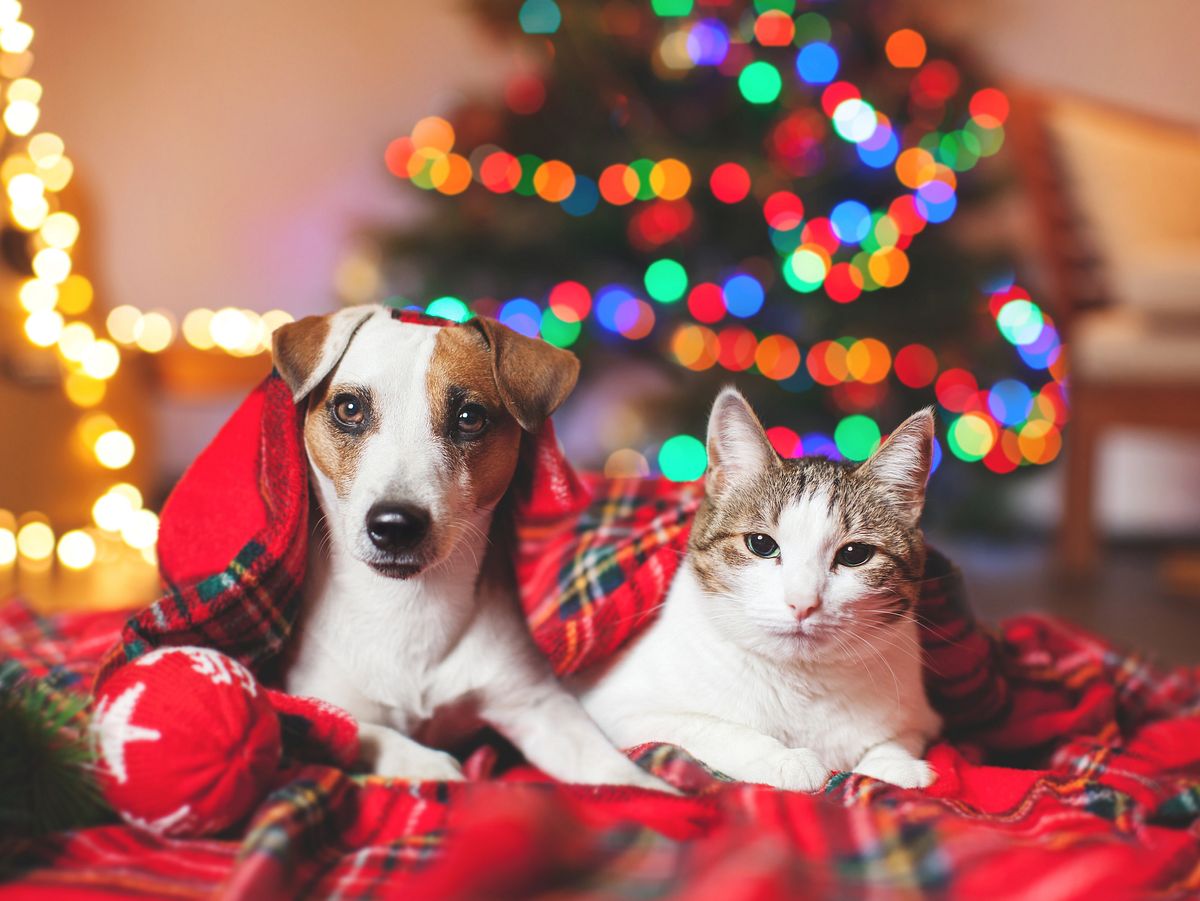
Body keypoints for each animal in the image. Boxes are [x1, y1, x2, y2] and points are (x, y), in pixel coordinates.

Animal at [272, 304, 667, 787]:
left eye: (469, 418)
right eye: (349, 408)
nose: (395, 525)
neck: (406, 607)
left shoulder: (537, 705)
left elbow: (609, 766)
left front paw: (657, 789)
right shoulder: (315, 700)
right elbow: (357, 729)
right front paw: (424, 763)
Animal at [576, 388, 940, 787]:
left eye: (855, 554)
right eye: (761, 544)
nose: (802, 603)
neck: (800, 685)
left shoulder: (921, 718)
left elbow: (895, 739)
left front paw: (894, 763)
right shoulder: (617, 710)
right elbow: (710, 728)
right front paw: (784, 759)